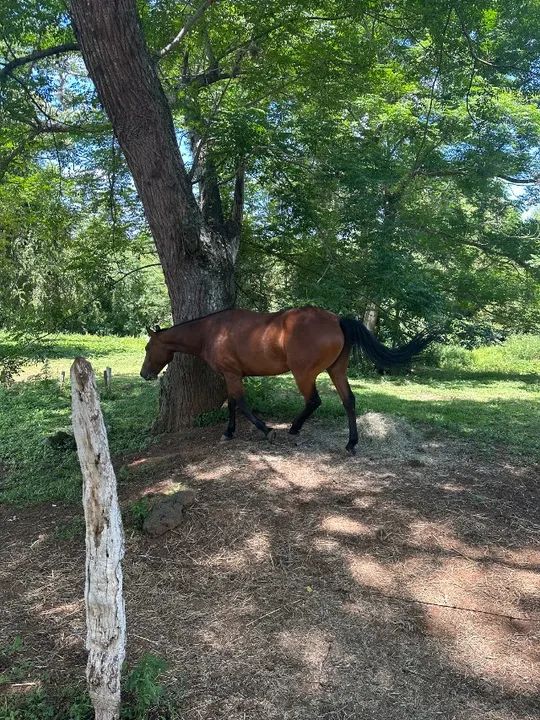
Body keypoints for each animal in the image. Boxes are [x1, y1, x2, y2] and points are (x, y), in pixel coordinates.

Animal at [140, 306, 433, 454]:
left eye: (147, 347)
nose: (145, 374)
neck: (213, 330)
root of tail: (337, 320)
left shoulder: (232, 375)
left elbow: (241, 404)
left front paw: (266, 430)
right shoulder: (231, 376)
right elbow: (232, 404)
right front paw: (229, 432)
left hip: (303, 374)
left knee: (314, 401)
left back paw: (293, 428)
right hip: (337, 371)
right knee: (348, 401)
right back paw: (351, 443)